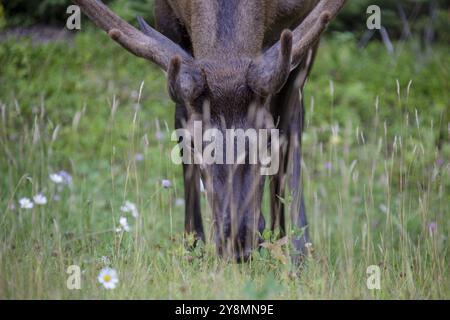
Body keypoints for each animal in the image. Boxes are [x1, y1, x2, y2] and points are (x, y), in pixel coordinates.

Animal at [74, 0, 344, 262]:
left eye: (267, 138)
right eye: (193, 143)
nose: (237, 241)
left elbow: (290, 131)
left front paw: (298, 252)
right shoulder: (166, 16)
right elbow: (181, 123)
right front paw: (192, 247)